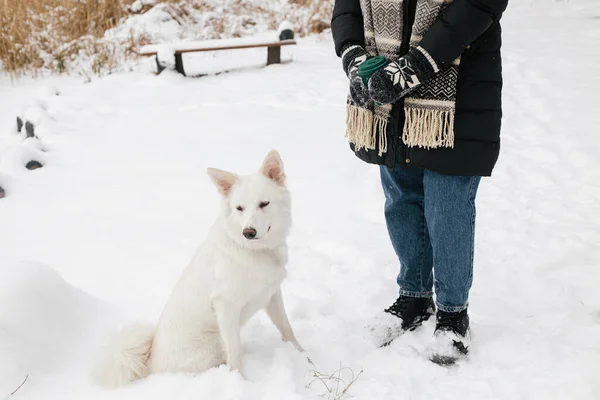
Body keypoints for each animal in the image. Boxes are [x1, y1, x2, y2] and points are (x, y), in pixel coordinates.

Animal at [95, 151, 302, 388]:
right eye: (239, 208)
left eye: (264, 203)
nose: (248, 232)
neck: (253, 250)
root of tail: (149, 362)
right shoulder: (226, 306)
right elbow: (235, 354)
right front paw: (239, 382)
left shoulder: (272, 294)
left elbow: (286, 328)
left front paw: (303, 356)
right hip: (212, 343)